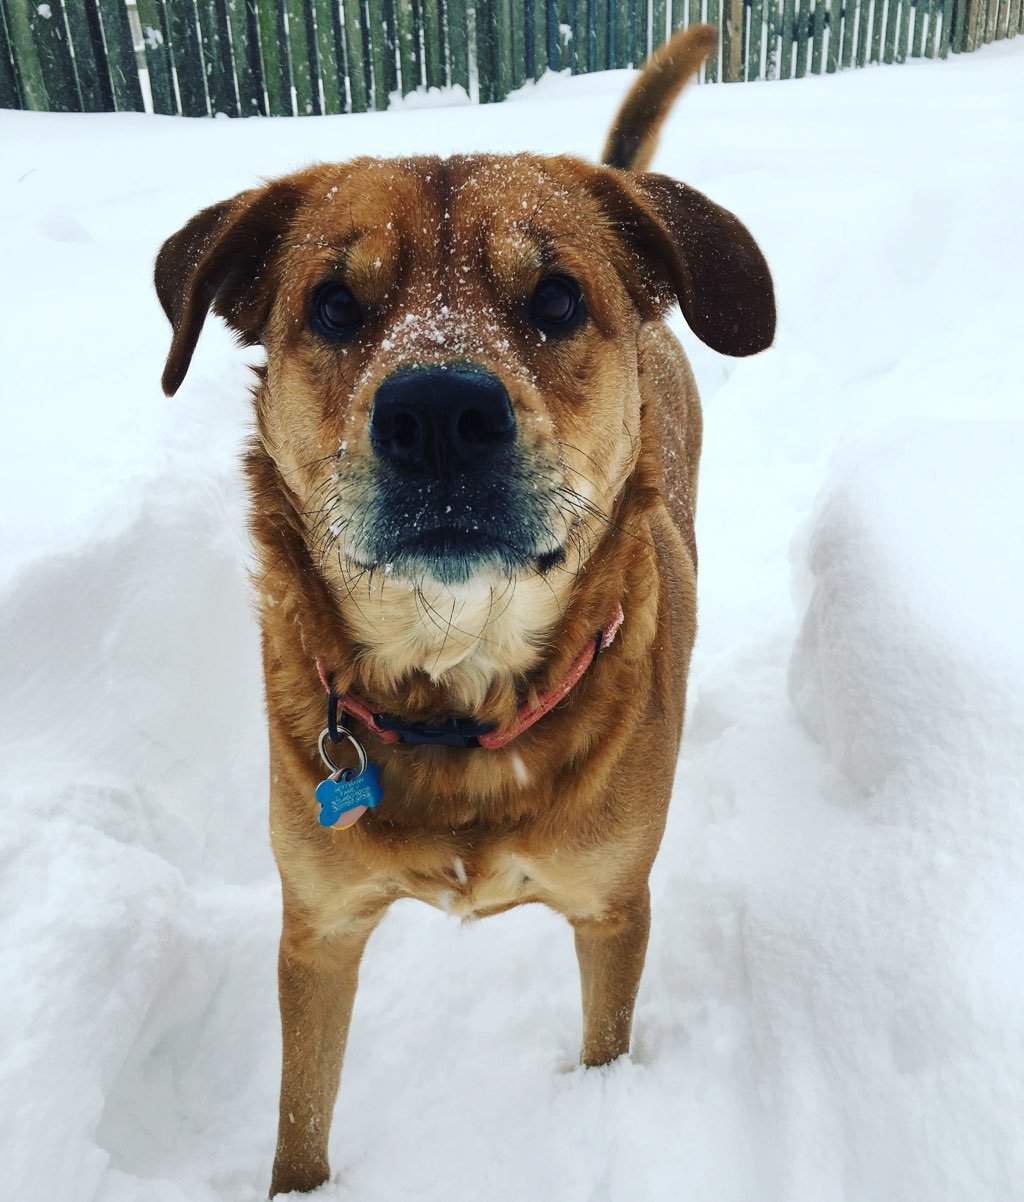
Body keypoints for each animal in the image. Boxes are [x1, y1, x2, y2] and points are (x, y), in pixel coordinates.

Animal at [156, 25, 774, 1192]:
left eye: (558, 298)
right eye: (334, 305)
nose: (439, 410)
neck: (455, 689)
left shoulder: (612, 908)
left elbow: (604, 1044)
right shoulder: (316, 928)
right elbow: (300, 1117)